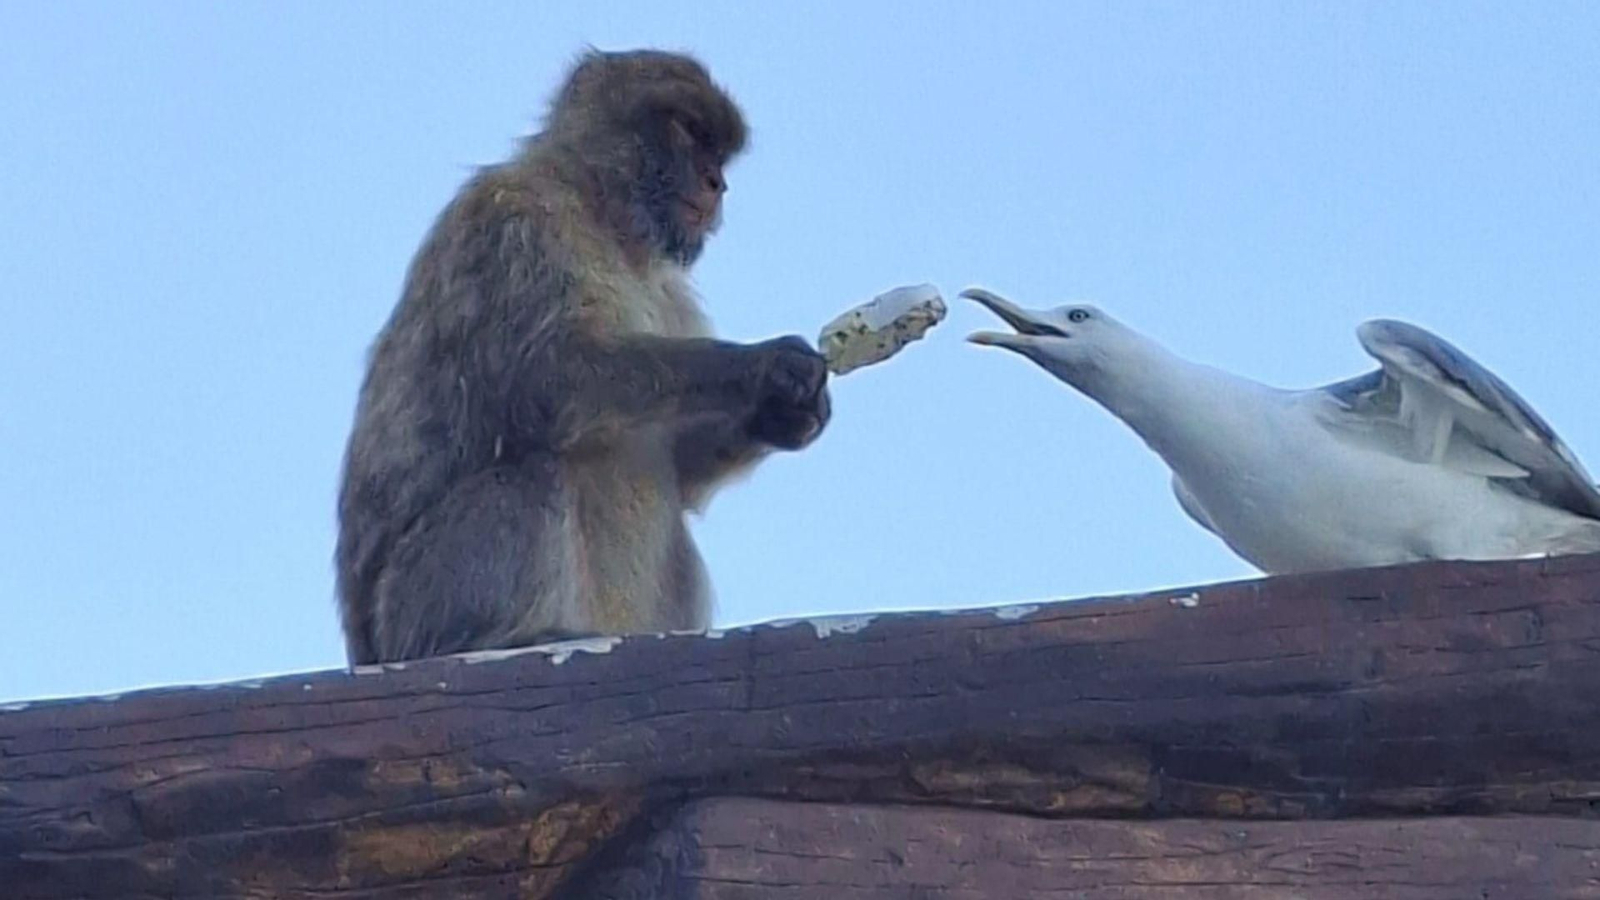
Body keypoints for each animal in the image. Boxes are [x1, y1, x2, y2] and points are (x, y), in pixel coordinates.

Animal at [335, 49, 831, 665]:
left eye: (717, 152)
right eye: (687, 130)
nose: (717, 183)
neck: (602, 215)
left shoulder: (668, 290)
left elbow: (684, 470)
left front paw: (783, 413)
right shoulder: (513, 223)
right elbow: (550, 379)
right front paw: (765, 370)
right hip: (411, 605)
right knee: (530, 476)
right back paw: (482, 639)